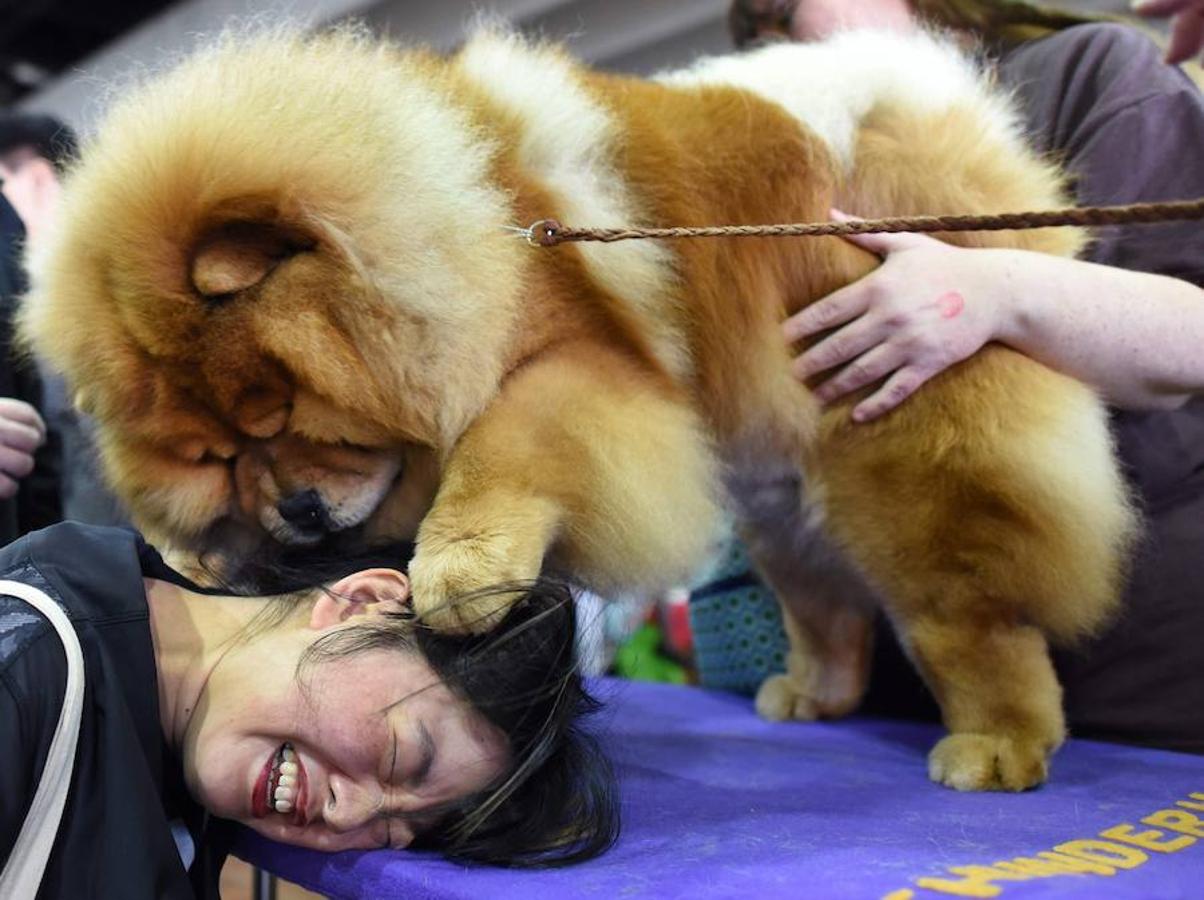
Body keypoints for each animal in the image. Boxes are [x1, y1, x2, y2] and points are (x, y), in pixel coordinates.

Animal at [23, 26, 1141, 789]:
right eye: (216, 458)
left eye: (289, 416)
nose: (293, 511)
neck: (464, 232)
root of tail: (917, 121)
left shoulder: (578, 363)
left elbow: (499, 454)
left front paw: (458, 579)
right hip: (777, 495)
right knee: (826, 602)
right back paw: (812, 698)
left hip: (895, 442)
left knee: (968, 612)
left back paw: (996, 744)